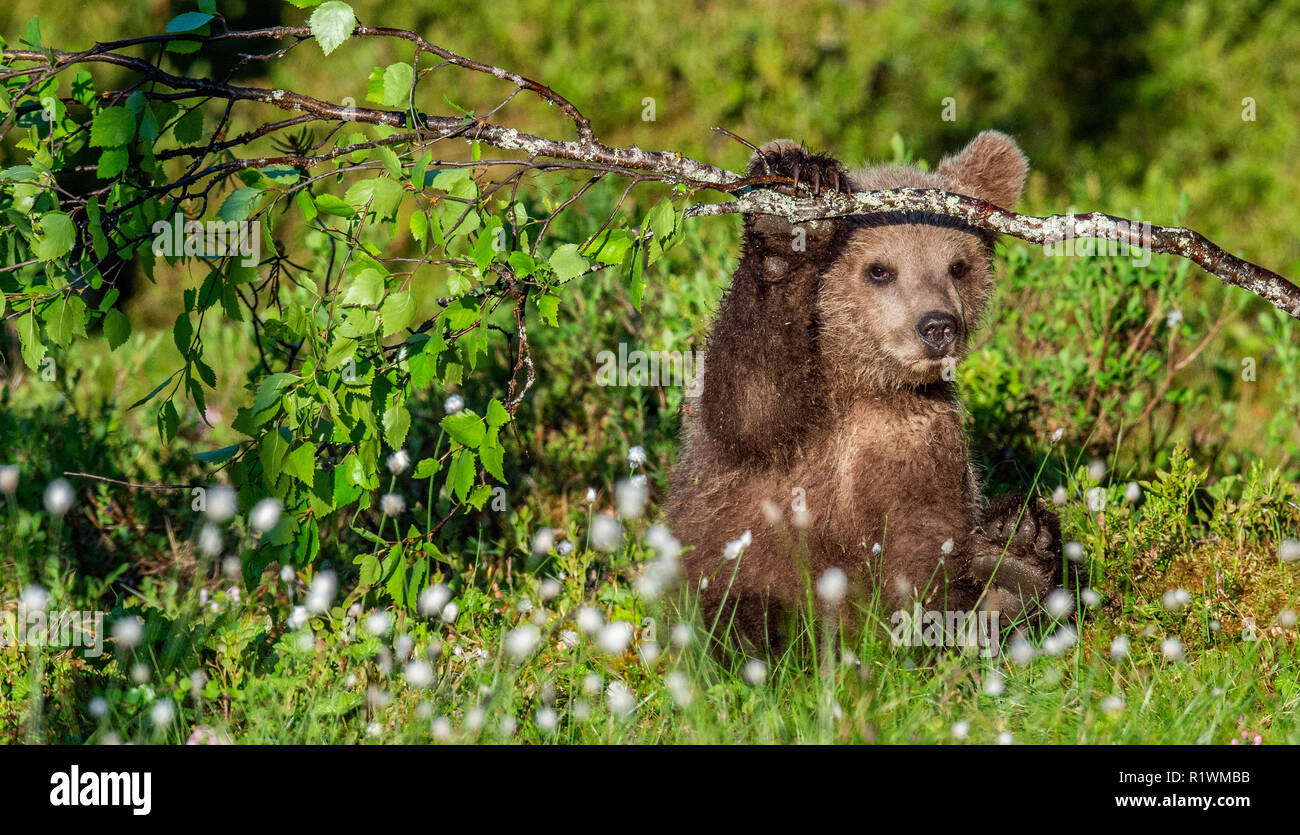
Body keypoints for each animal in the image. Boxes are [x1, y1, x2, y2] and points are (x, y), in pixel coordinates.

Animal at [666, 132, 1070, 650]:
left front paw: (1011, 566)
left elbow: (924, 555)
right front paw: (792, 202)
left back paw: (1017, 555)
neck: (858, 384)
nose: (938, 326)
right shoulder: (762, 453)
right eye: (880, 270)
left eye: (957, 266)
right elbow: (750, 401)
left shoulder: (913, 438)